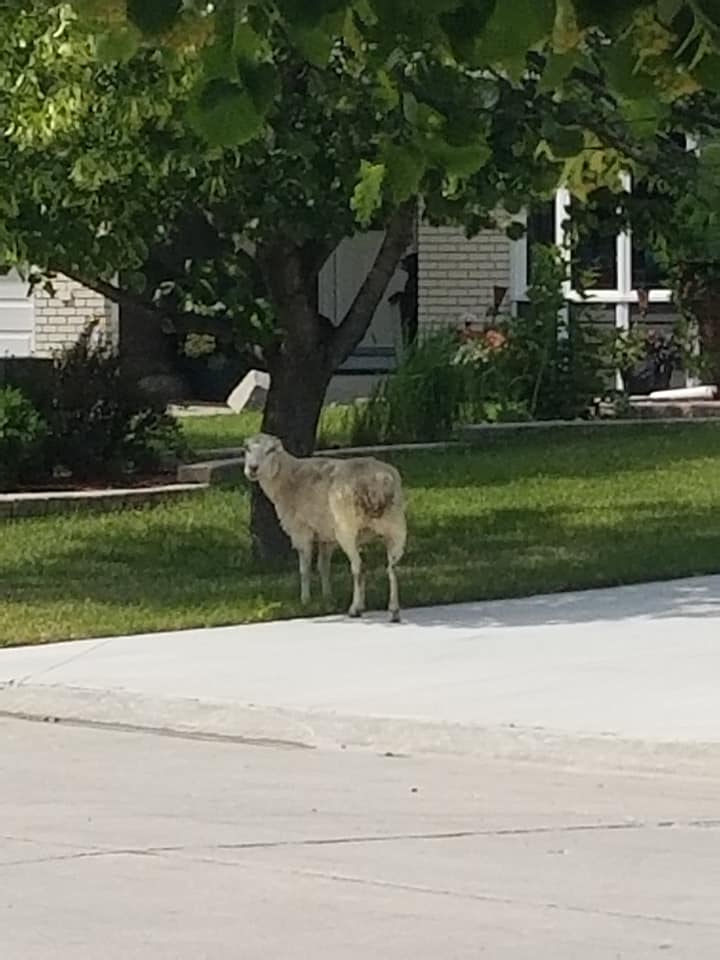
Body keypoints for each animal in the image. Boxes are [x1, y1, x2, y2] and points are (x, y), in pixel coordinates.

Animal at [245, 436, 408, 624]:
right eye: (247, 449)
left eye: (270, 450)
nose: (252, 468)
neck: (288, 477)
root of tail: (379, 483)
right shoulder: (326, 537)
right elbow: (323, 567)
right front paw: (327, 598)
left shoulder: (301, 531)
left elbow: (305, 569)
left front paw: (305, 601)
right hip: (396, 527)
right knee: (392, 567)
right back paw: (394, 611)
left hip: (347, 528)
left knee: (359, 567)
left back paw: (355, 609)